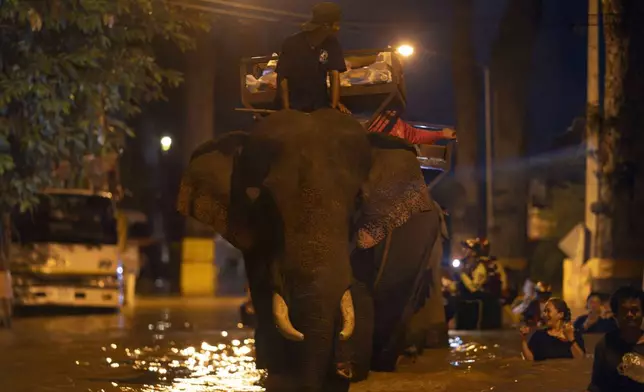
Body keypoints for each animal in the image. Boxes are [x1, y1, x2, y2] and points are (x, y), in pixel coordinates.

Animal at [176, 108, 448, 390]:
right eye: (263, 201)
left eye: (358, 200)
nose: (341, 370)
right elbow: (264, 292)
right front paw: (278, 372)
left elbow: (358, 292)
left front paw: (348, 370)